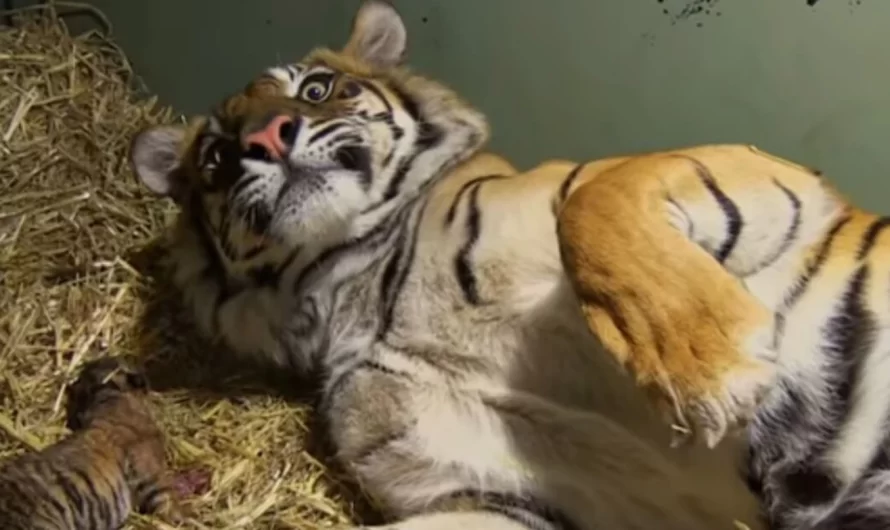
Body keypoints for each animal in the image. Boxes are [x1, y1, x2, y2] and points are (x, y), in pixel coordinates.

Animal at [121, 1, 796, 528]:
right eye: (215, 156)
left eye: (313, 90)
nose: (264, 139)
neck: (356, 285)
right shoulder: (499, 496)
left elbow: (593, 203)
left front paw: (711, 373)